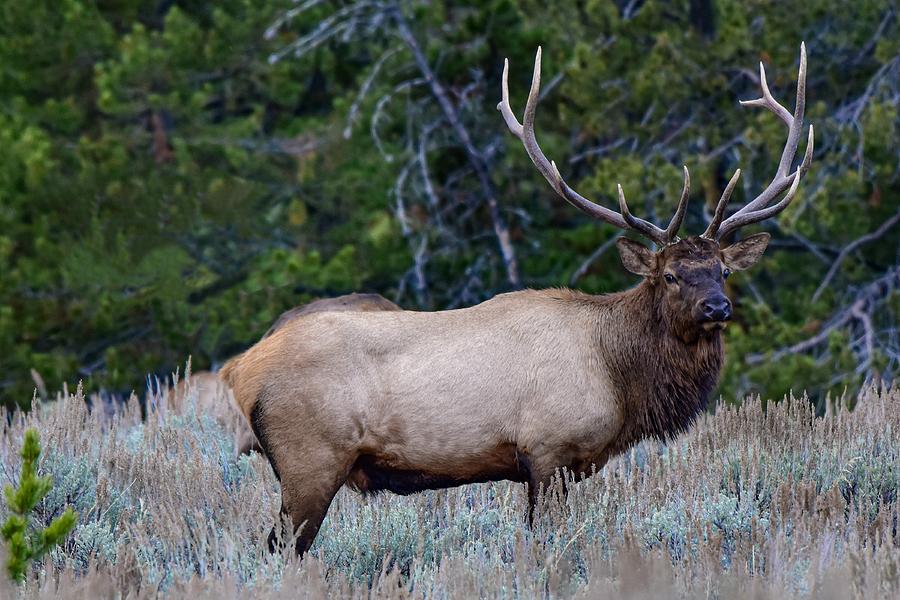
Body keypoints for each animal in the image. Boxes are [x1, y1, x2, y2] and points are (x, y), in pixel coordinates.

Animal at [221, 44, 812, 556]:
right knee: (277, 550)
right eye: (669, 275)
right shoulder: (548, 450)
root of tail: (240, 368)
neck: (618, 375)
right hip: (310, 460)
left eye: (722, 271)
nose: (717, 308)